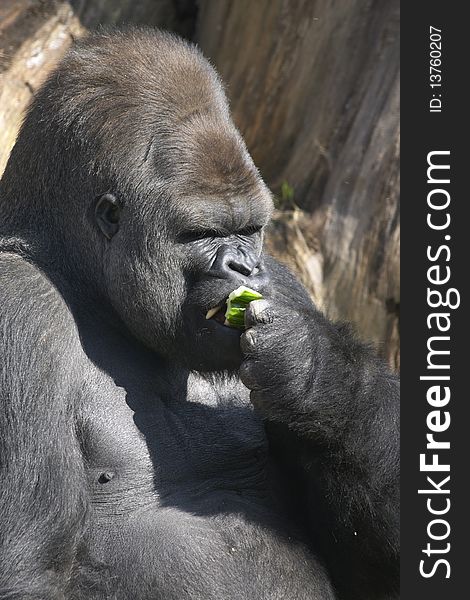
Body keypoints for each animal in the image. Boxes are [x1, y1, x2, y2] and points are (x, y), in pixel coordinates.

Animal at [0, 27, 398, 600]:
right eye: (201, 233)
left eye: (250, 228)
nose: (245, 266)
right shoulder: (19, 314)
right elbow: (28, 566)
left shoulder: (287, 286)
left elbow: (373, 566)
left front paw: (317, 373)